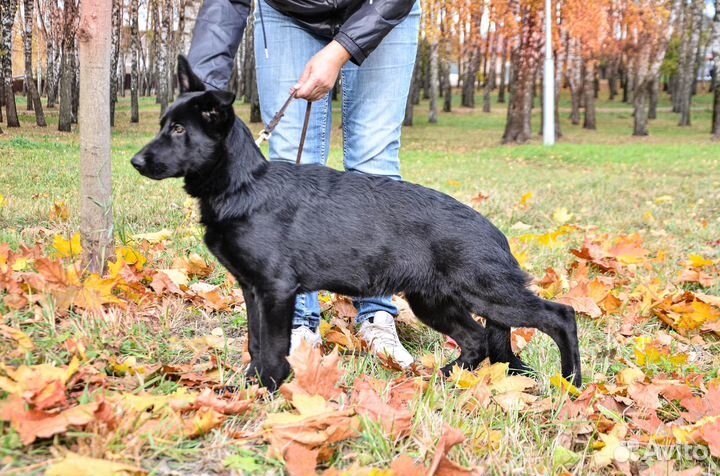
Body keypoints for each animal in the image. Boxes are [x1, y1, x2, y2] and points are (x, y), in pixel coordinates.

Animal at [132, 55, 584, 390]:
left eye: (178, 129)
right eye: (163, 125)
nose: (136, 161)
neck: (245, 184)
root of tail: (495, 232)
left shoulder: (275, 291)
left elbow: (272, 346)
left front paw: (269, 388)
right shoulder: (252, 290)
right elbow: (256, 342)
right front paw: (249, 387)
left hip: (487, 294)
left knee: (560, 316)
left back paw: (572, 383)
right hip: (432, 301)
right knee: (476, 340)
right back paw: (437, 380)